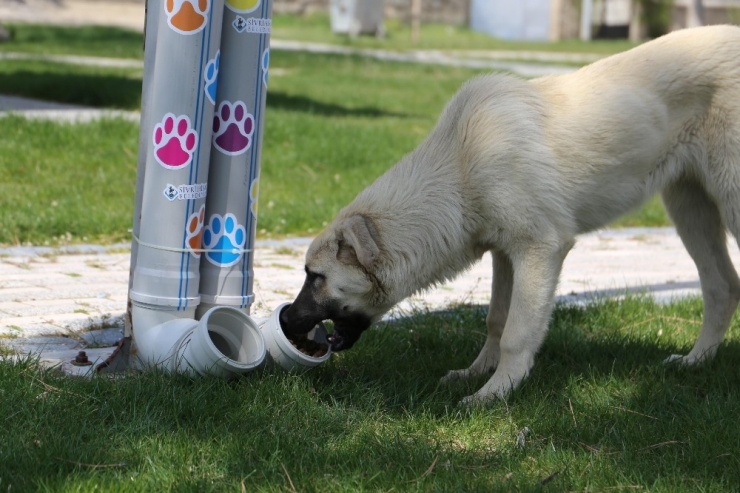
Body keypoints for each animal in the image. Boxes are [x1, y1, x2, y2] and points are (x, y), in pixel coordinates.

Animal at [280, 26, 740, 402]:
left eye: (315, 277)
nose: (284, 317)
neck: (460, 165)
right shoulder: (504, 253)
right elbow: (496, 320)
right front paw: (476, 373)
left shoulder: (541, 249)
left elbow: (518, 331)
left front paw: (496, 393)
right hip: (688, 206)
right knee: (721, 285)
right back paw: (695, 362)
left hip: (727, 200)